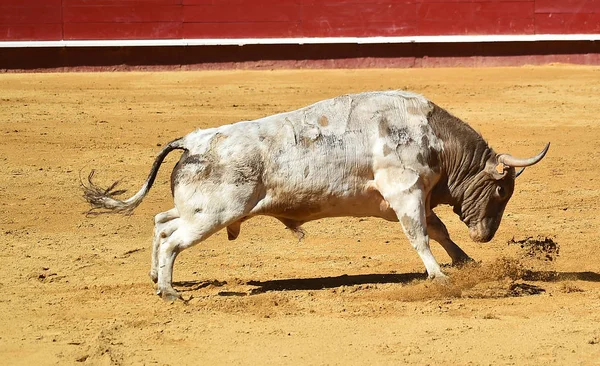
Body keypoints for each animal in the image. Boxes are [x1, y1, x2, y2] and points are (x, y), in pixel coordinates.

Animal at [83, 90, 548, 298]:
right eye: (502, 188)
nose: (486, 235)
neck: (435, 138)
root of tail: (194, 140)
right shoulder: (406, 194)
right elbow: (421, 236)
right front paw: (440, 276)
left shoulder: (410, 198)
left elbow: (439, 232)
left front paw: (467, 262)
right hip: (213, 214)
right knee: (172, 240)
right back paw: (169, 291)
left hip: (198, 210)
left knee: (161, 224)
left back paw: (155, 279)